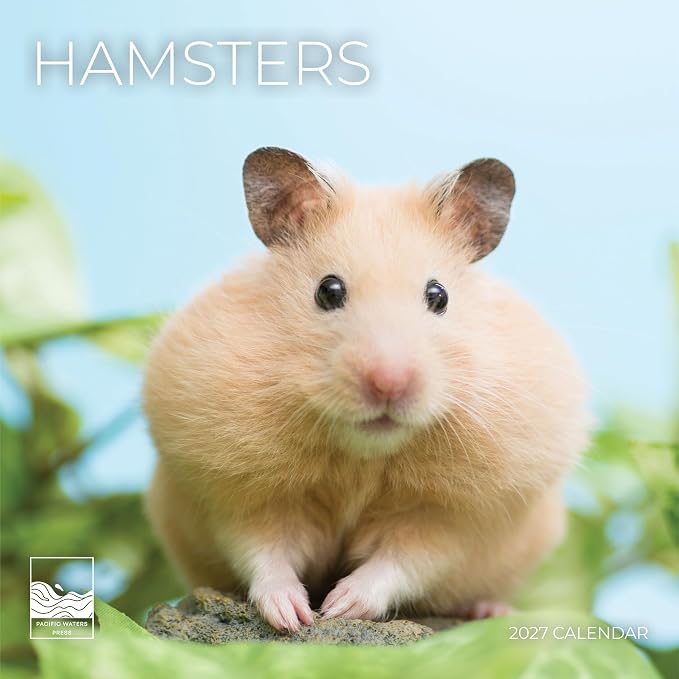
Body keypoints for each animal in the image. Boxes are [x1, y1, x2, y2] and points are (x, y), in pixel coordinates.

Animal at [143, 147, 591, 631]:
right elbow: (263, 551)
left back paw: (489, 611)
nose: (389, 384)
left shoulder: (451, 520)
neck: (362, 456)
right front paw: (294, 616)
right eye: (328, 290)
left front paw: (341, 605)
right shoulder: (241, 494)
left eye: (439, 296)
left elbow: (404, 562)